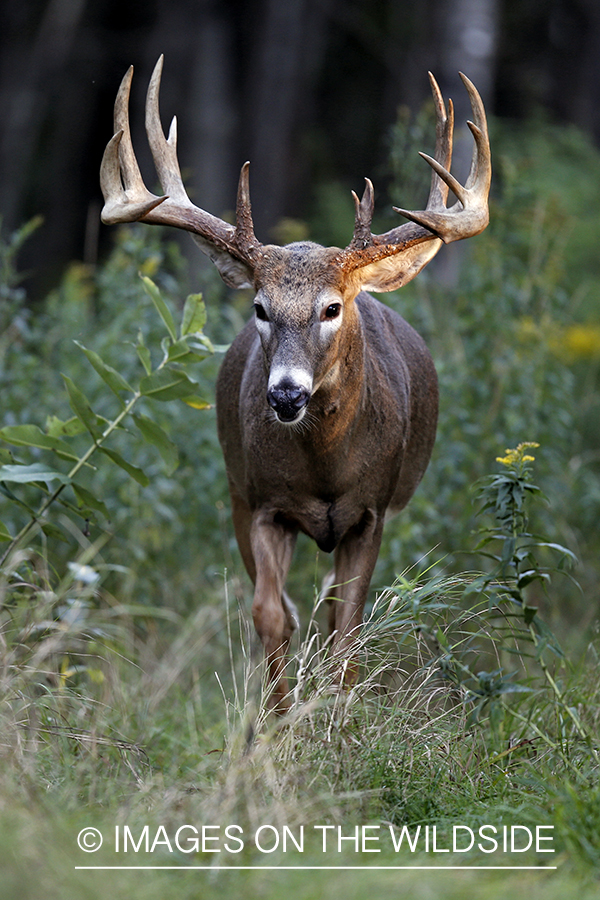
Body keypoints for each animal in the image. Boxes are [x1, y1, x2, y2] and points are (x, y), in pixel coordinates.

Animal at [101, 56, 490, 712]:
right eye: (260, 307)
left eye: (332, 308)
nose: (285, 394)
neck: (324, 472)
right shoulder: (260, 502)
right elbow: (270, 612)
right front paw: (279, 719)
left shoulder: (371, 511)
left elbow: (348, 625)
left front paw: (339, 716)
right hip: (236, 488)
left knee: (333, 607)